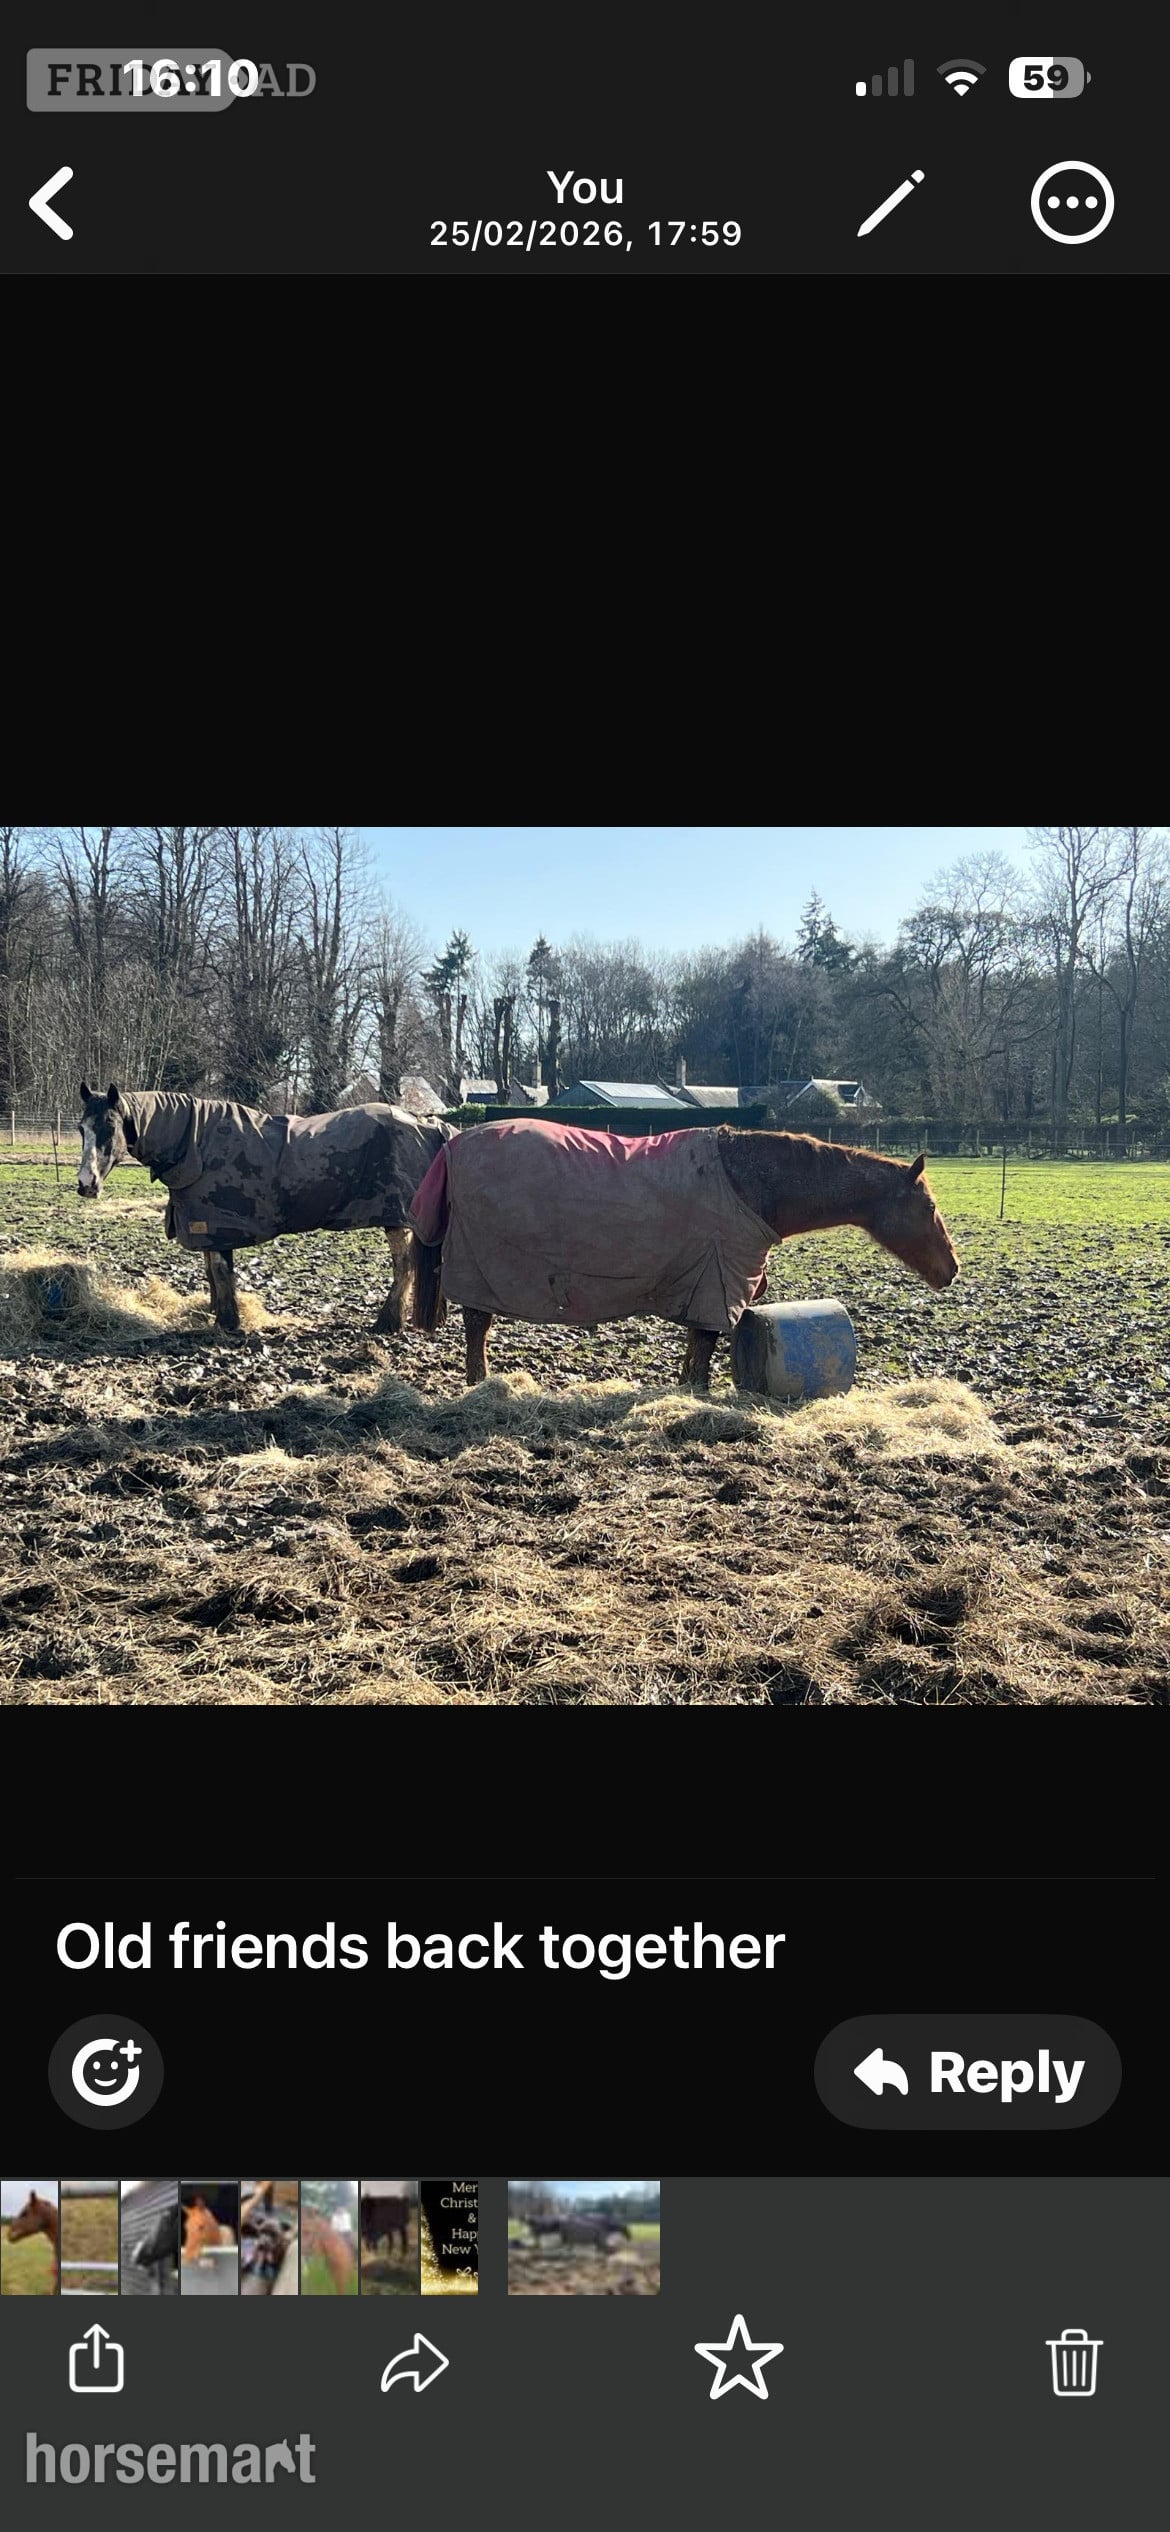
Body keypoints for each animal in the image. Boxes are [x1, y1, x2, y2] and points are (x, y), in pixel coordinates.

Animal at [77, 1081, 453, 1335]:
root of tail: (426, 1123)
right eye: (81, 1128)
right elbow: (212, 1272)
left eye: (110, 1127)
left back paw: (386, 1322)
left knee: (404, 1268)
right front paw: (218, 1314)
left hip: (396, 1219)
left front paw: (229, 1322)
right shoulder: (206, 1226)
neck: (194, 1142)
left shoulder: (217, 1225)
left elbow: (221, 1273)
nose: (86, 1183)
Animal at [405, 1119, 960, 1388]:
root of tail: (455, 1141)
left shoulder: (709, 1282)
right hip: (481, 1269)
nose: (952, 1270)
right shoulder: (719, 1281)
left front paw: (685, 1384)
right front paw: (697, 1389)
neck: (747, 1183)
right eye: (929, 1206)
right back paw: (479, 1383)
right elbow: (707, 1342)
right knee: (477, 1325)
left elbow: (698, 1341)